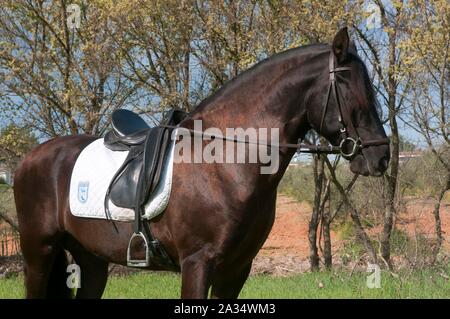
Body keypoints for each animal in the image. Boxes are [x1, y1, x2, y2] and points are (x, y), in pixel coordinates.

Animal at [14, 28, 386, 298]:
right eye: (353, 91)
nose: (381, 157)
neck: (225, 163)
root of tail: (29, 158)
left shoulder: (236, 269)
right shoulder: (198, 263)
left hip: (91, 259)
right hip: (38, 253)